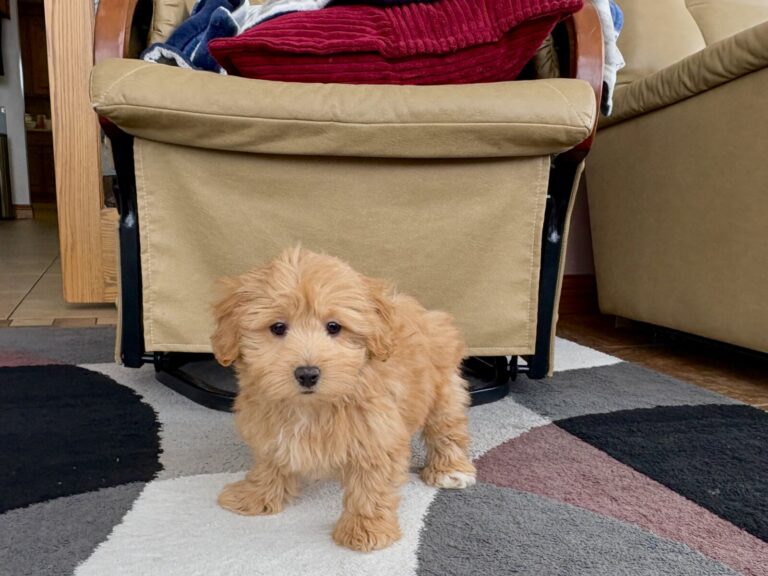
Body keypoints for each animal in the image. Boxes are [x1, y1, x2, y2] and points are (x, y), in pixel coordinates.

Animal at [211, 247, 475, 551]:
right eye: (277, 327)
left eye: (334, 327)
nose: (307, 374)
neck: (311, 407)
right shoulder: (267, 424)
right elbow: (270, 460)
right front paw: (256, 495)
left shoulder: (375, 434)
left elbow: (370, 484)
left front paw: (365, 529)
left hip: (444, 389)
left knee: (446, 428)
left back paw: (450, 470)